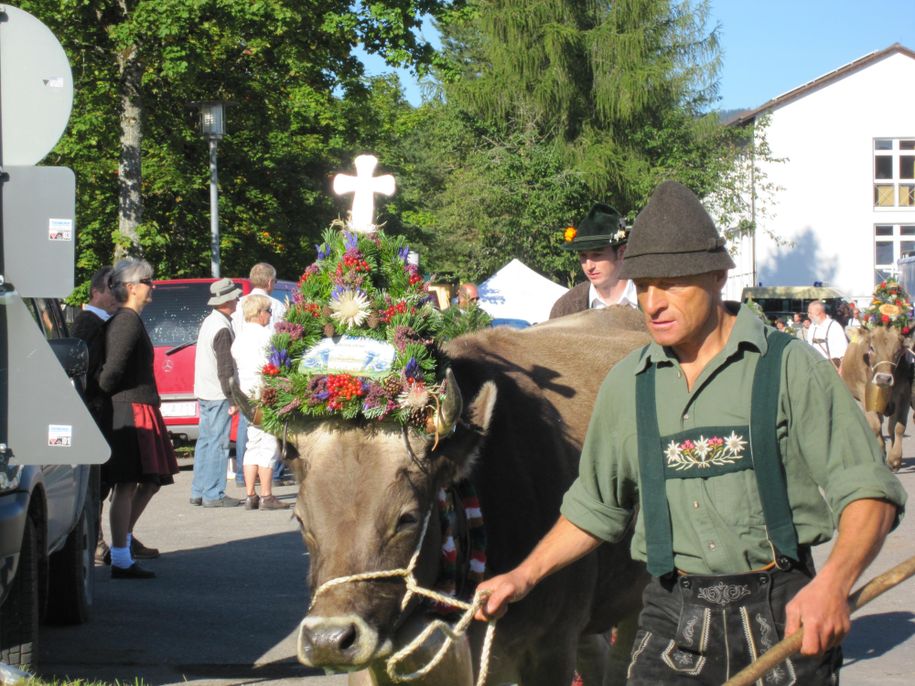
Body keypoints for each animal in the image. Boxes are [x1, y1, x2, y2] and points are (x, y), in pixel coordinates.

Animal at [840, 328, 912, 472]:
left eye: (898, 351)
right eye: (872, 348)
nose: (884, 378)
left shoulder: (904, 395)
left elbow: (899, 427)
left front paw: (895, 459)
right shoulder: (864, 392)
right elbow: (875, 426)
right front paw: (880, 452)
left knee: (890, 427)